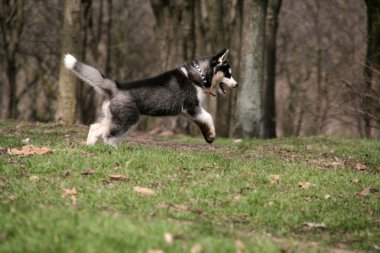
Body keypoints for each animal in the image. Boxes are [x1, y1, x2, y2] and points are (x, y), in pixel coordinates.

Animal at [64, 48, 238, 146]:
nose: (236, 85)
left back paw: (90, 146)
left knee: (95, 128)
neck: (198, 75)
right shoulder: (192, 107)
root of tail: (117, 87)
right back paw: (113, 150)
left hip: (114, 117)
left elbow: (203, 121)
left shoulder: (191, 112)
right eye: (228, 74)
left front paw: (208, 137)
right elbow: (208, 117)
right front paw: (211, 136)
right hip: (128, 119)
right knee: (108, 135)